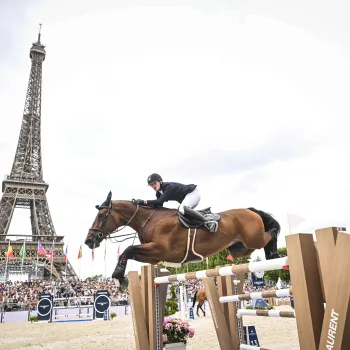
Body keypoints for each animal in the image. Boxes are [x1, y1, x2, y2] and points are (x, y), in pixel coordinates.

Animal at [85, 191, 282, 288]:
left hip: (253, 239)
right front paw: (121, 278)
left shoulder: (159, 249)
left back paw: (274, 254)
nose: (89, 241)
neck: (151, 221)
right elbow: (129, 252)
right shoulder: (154, 256)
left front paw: (119, 277)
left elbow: (127, 250)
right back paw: (272, 256)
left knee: (271, 233)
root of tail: (250, 210)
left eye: (102, 216)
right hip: (240, 248)